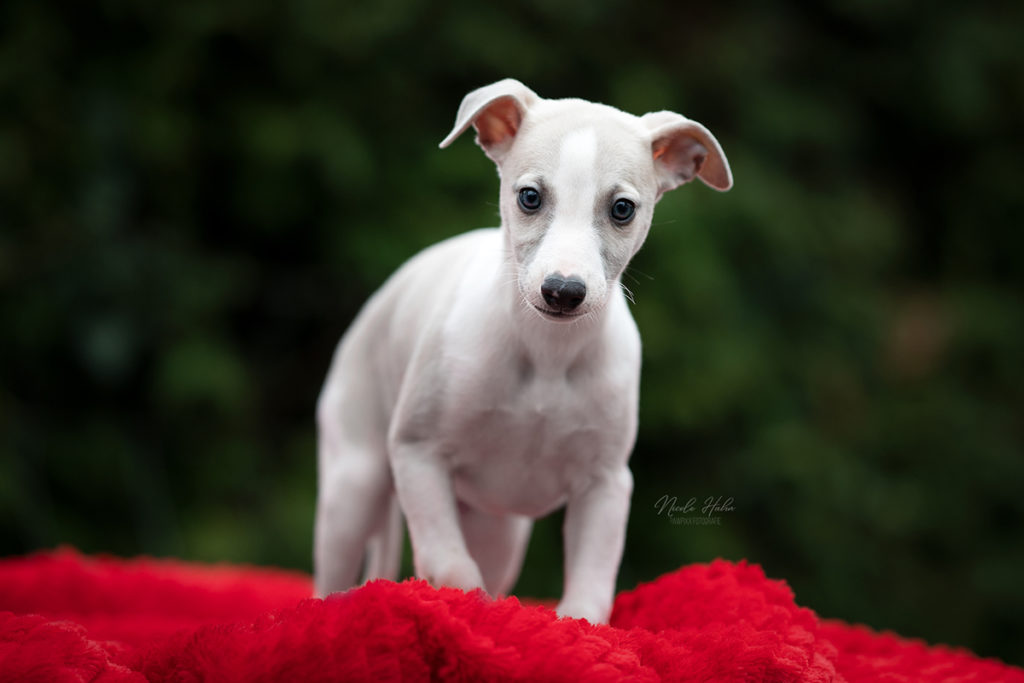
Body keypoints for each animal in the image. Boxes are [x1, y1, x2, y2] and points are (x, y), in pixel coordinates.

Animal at [311, 80, 729, 626]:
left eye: (622, 208)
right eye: (530, 197)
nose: (563, 291)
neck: (547, 353)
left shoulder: (605, 484)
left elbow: (591, 586)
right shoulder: (417, 451)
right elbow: (450, 564)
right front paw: (468, 610)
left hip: (496, 528)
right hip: (353, 487)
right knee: (333, 579)